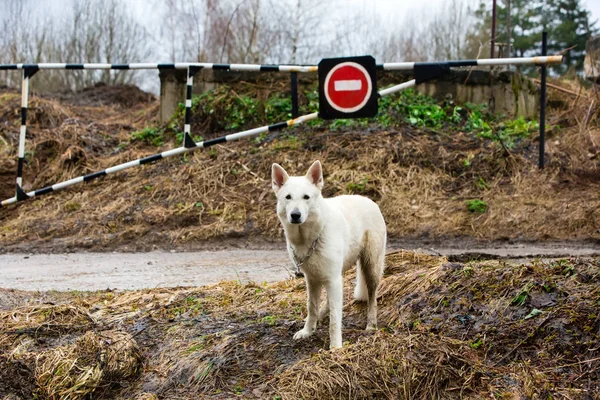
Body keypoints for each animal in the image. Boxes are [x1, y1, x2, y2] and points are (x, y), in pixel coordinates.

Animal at [270, 159, 386, 346]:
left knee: (372, 298)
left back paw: (371, 325)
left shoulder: (332, 279)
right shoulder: (312, 279)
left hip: (371, 268)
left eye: (306, 197)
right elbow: (312, 307)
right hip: (335, 273)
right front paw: (307, 331)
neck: (311, 238)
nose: (295, 215)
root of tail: (370, 201)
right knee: (330, 302)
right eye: (288, 197)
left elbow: (335, 320)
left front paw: (336, 347)